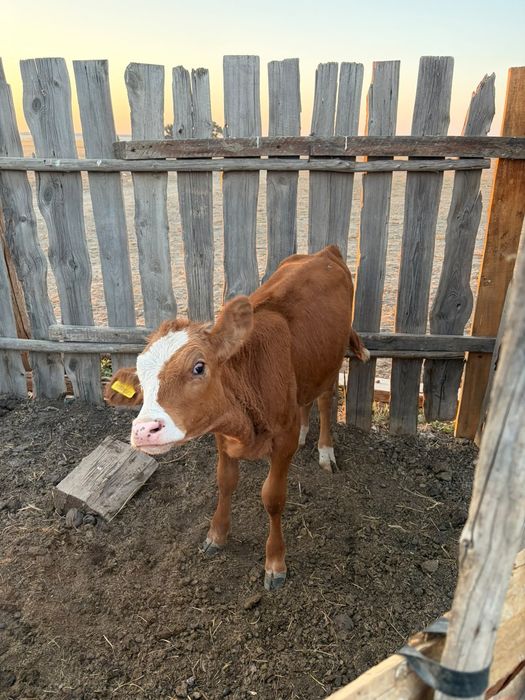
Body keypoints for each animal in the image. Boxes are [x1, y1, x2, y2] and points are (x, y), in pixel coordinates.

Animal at [105, 245, 369, 590]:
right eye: (140, 376)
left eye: (199, 367)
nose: (144, 430)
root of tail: (325, 252)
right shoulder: (222, 435)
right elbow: (225, 481)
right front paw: (216, 535)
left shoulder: (280, 443)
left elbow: (272, 497)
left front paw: (275, 562)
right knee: (305, 400)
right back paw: (303, 432)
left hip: (332, 360)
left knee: (325, 399)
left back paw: (325, 450)